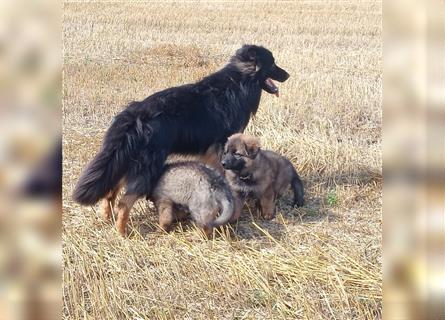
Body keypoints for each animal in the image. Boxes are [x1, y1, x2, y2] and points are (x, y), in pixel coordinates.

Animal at [72, 44, 288, 235]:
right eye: (272, 63)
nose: (288, 75)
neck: (239, 81)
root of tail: (133, 116)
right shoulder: (221, 149)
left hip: (126, 162)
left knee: (110, 192)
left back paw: (107, 219)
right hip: (147, 168)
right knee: (124, 202)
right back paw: (122, 233)